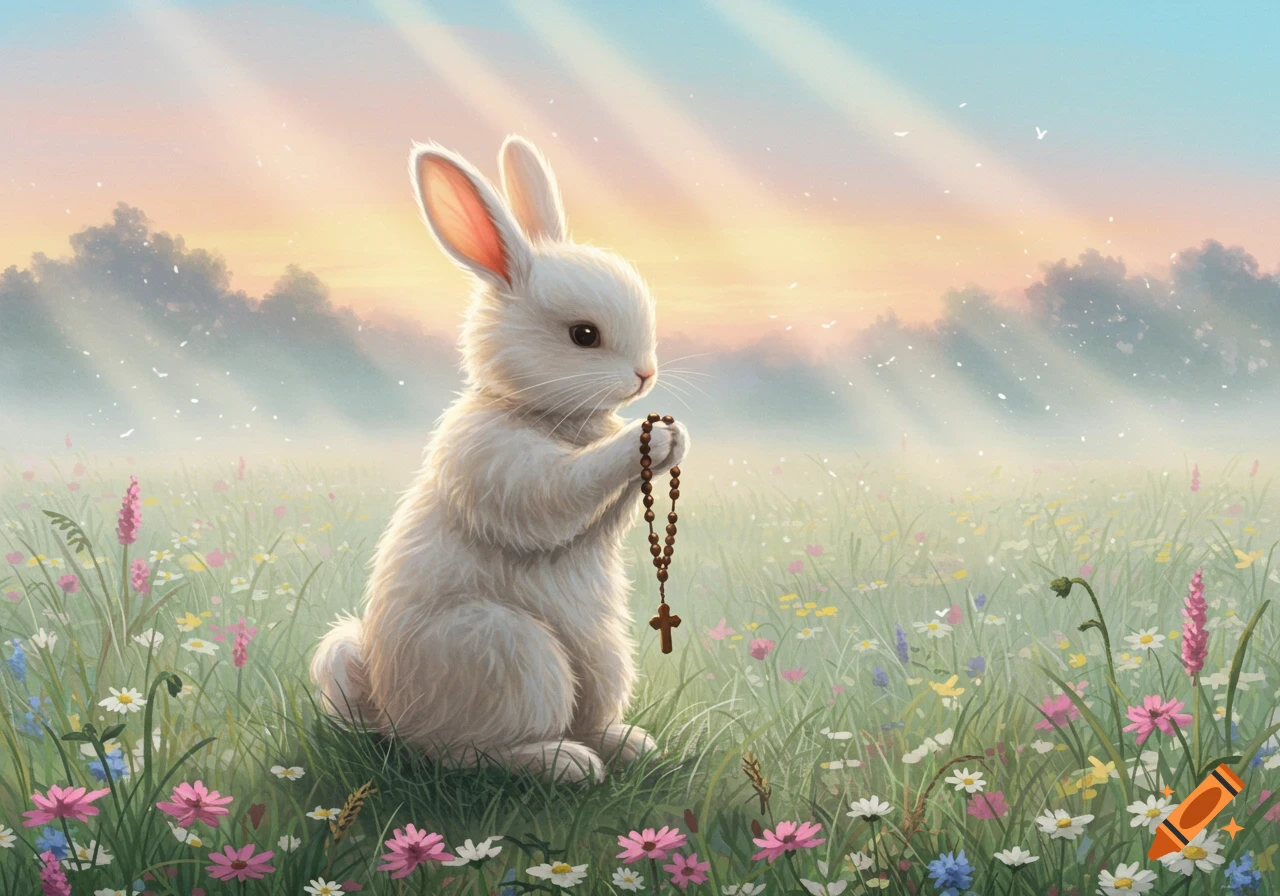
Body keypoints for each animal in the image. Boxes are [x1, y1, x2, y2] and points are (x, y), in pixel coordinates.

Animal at [309, 134, 689, 785]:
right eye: (584, 335)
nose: (645, 376)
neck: (540, 411)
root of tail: (389, 710)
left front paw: (674, 439)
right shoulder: (497, 464)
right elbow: (556, 492)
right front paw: (649, 441)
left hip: (603, 655)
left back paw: (629, 746)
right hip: (509, 650)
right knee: (463, 753)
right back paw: (566, 765)